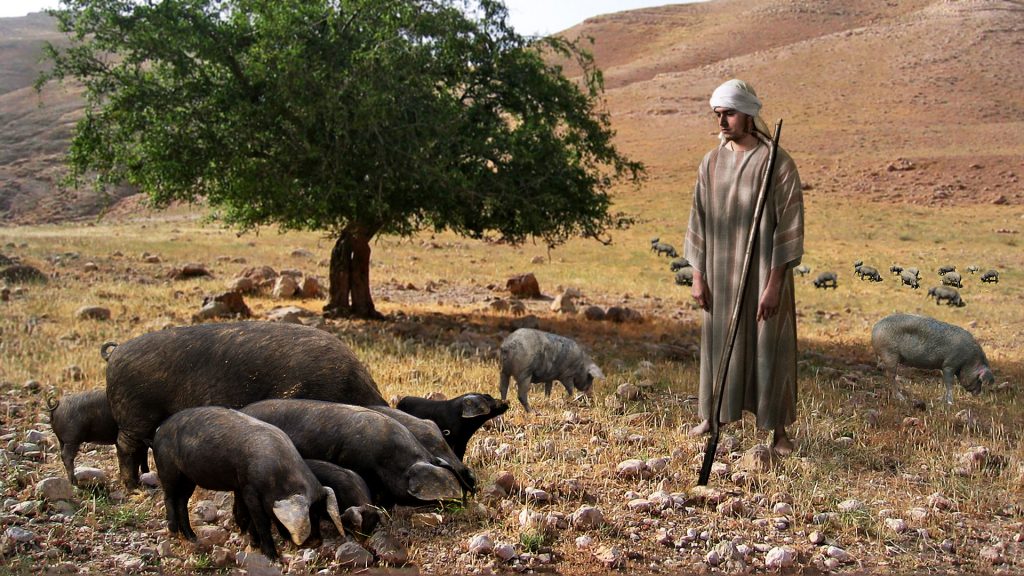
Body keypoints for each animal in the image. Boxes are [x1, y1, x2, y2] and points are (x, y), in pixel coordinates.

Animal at [151, 407, 345, 560]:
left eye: (319, 514)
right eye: (311, 515)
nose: (317, 542)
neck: (278, 474)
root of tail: (159, 430)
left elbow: (253, 520)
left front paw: (254, 544)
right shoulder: (249, 489)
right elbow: (262, 521)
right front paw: (273, 557)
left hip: (188, 478)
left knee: (182, 501)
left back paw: (192, 537)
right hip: (168, 469)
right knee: (169, 497)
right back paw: (173, 530)